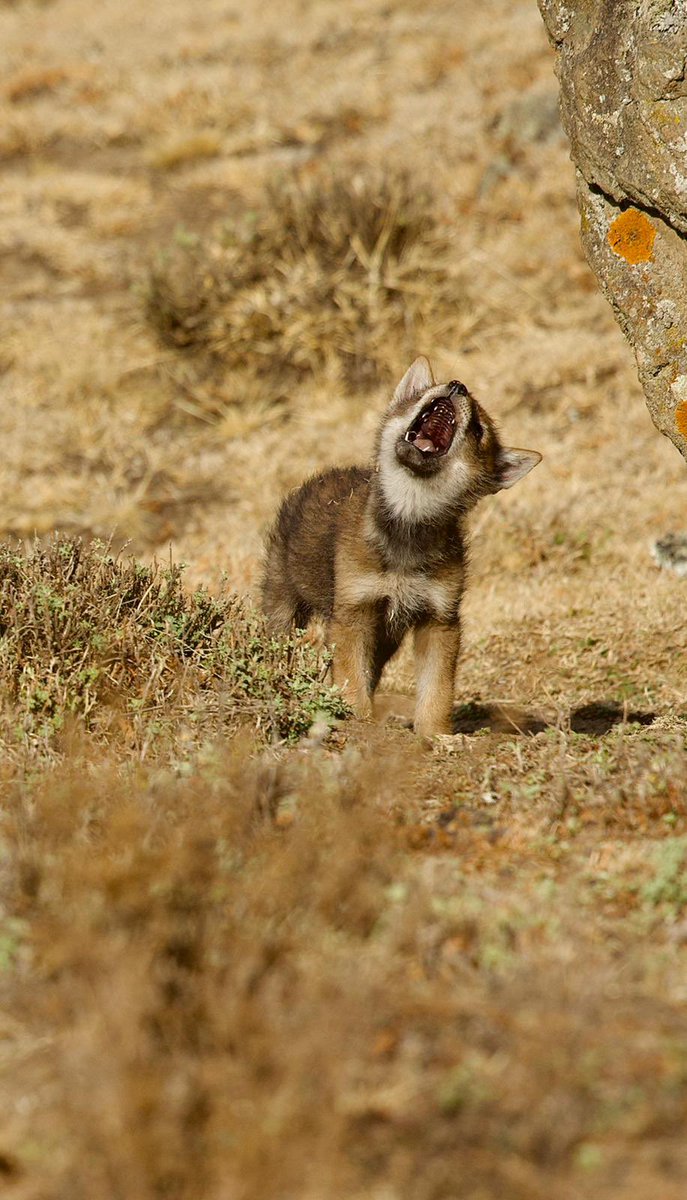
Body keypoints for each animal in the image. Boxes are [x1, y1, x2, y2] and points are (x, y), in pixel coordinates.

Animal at [262, 357, 541, 735]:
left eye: (479, 430)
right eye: (424, 392)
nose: (458, 385)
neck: (407, 527)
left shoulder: (438, 619)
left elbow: (437, 689)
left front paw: (435, 735)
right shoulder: (354, 613)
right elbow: (351, 678)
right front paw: (356, 721)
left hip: (386, 639)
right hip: (284, 611)